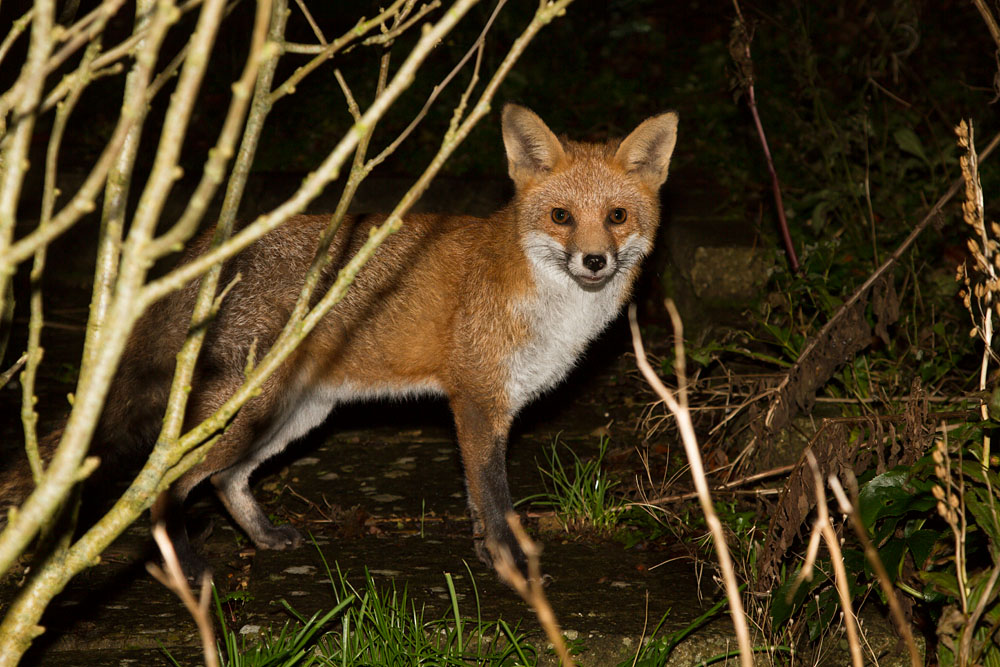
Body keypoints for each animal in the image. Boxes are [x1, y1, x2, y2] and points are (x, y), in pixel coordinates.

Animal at [15, 104, 678, 576]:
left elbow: (475, 499)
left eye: (617, 217)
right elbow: (493, 497)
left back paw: (263, 538)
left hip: (294, 414)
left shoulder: (486, 407)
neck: (548, 303)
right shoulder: (477, 400)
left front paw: (486, 557)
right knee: (163, 482)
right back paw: (186, 566)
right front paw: (512, 565)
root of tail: (212, 244)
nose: (594, 261)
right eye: (561, 217)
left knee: (227, 480)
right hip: (249, 411)